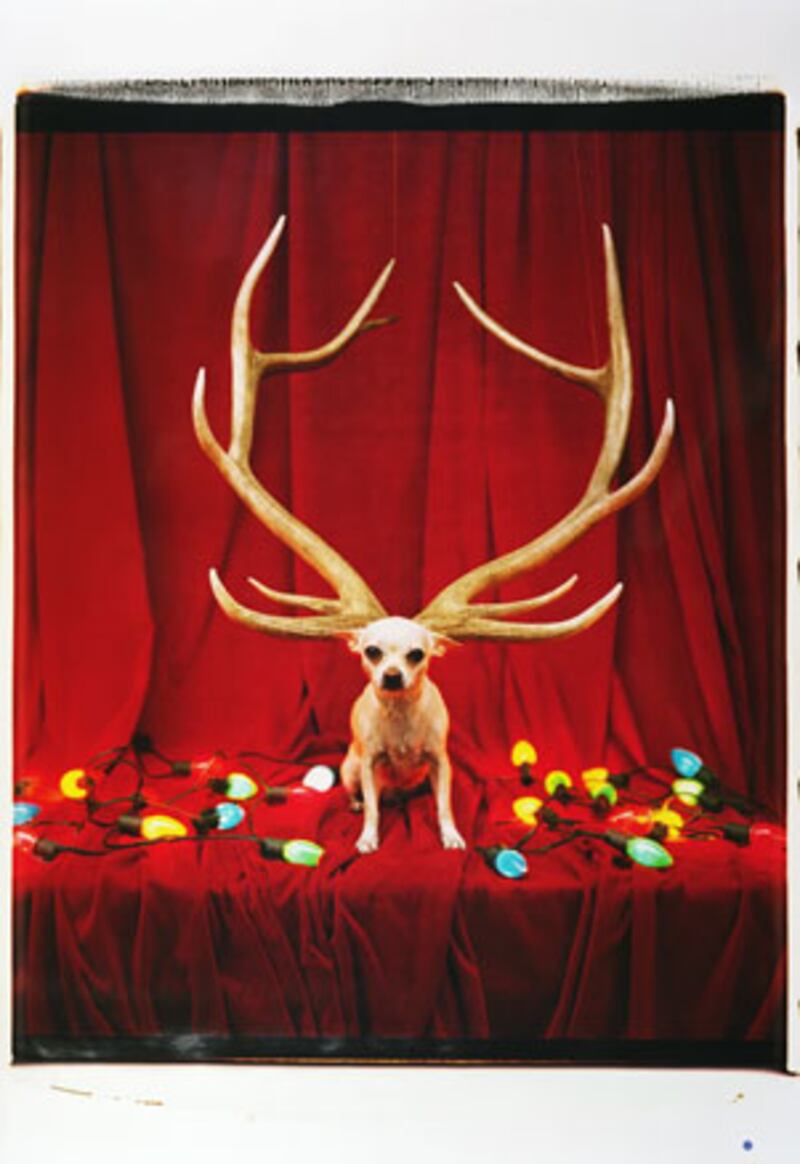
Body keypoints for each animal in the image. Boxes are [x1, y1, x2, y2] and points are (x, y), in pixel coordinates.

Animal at [340, 617, 465, 853]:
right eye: (372, 651)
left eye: (416, 654)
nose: (392, 675)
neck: (399, 708)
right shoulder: (368, 765)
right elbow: (372, 809)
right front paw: (368, 837)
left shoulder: (440, 762)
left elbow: (444, 806)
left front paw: (451, 835)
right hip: (351, 771)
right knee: (357, 793)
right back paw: (355, 803)